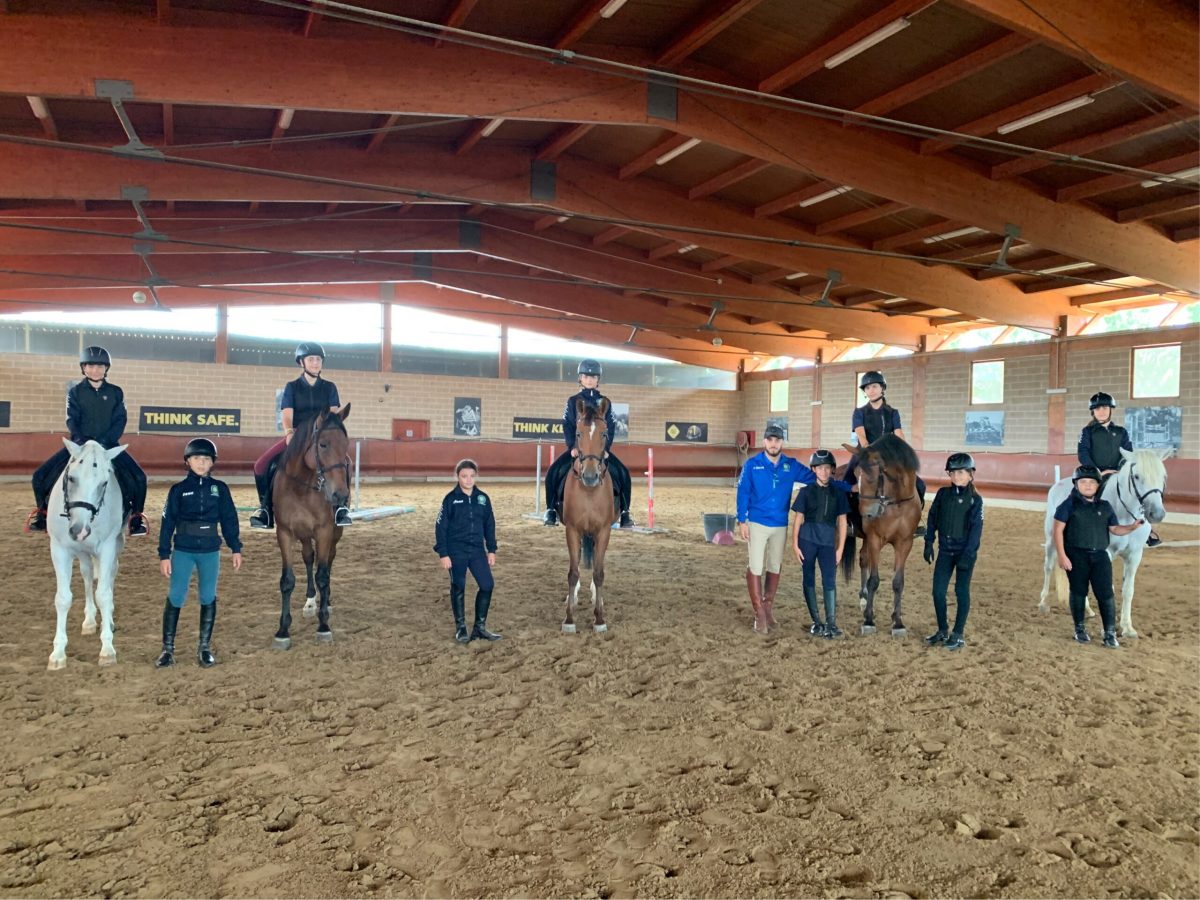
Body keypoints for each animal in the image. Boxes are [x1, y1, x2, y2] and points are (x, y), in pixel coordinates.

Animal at [46, 439, 129, 670]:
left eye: (104, 483)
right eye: (72, 478)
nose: (79, 530)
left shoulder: (108, 546)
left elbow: (104, 594)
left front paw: (107, 650)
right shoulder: (59, 549)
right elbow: (63, 598)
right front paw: (57, 654)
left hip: (116, 542)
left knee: (109, 575)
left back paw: (108, 619)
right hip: (82, 552)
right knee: (87, 574)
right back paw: (90, 621)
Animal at [271, 404, 352, 649]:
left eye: (346, 444)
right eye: (323, 444)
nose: (339, 495)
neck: (301, 486)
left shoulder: (324, 531)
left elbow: (323, 575)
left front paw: (323, 625)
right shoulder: (284, 532)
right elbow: (287, 580)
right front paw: (283, 631)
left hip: (334, 532)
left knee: (327, 561)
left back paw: (326, 601)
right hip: (304, 534)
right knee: (308, 558)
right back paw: (310, 601)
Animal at [839, 434, 924, 636]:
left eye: (876, 475)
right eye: (856, 474)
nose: (867, 514)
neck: (897, 502)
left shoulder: (904, 543)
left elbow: (898, 582)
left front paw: (898, 622)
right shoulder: (875, 540)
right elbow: (874, 580)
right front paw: (869, 621)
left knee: (863, 559)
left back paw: (863, 598)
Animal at [1038, 447, 1169, 637]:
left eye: (1163, 476)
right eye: (1137, 476)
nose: (1156, 514)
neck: (1123, 513)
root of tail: (1057, 484)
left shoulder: (1135, 555)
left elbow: (1128, 590)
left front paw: (1127, 627)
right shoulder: (1105, 553)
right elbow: (1106, 588)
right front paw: (1110, 627)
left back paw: (1087, 609)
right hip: (1051, 541)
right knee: (1048, 567)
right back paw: (1043, 603)